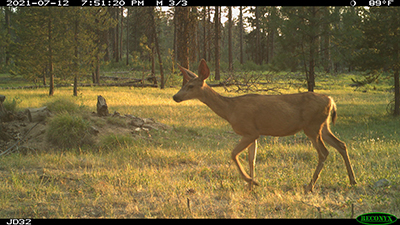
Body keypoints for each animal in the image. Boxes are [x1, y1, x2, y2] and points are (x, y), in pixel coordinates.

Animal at [172, 59, 356, 192]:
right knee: (341, 144)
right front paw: (250, 186)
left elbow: (233, 154)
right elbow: (251, 159)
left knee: (324, 152)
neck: (230, 110)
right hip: (323, 126)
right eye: (183, 84)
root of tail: (330, 100)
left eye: (190, 86)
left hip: (312, 127)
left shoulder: (250, 131)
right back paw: (352, 180)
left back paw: (310, 186)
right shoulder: (254, 133)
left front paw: (252, 182)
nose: (175, 97)